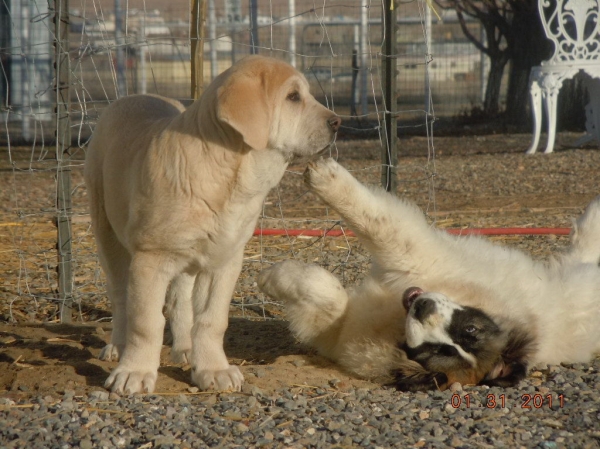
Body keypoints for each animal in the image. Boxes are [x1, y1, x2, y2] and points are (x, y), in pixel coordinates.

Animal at [83, 55, 342, 392]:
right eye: (293, 97)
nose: (337, 122)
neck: (228, 175)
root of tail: (130, 97)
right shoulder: (149, 259)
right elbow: (146, 322)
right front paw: (135, 373)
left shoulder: (224, 260)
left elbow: (211, 320)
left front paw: (212, 369)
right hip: (108, 235)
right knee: (119, 296)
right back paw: (118, 346)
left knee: (180, 300)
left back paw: (184, 348)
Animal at [260, 159, 600, 390]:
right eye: (470, 330)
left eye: (439, 350)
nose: (422, 307)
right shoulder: (340, 328)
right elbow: (327, 293)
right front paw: (279, 279)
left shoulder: (419, 257)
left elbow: (382, 226)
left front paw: (325, 177)